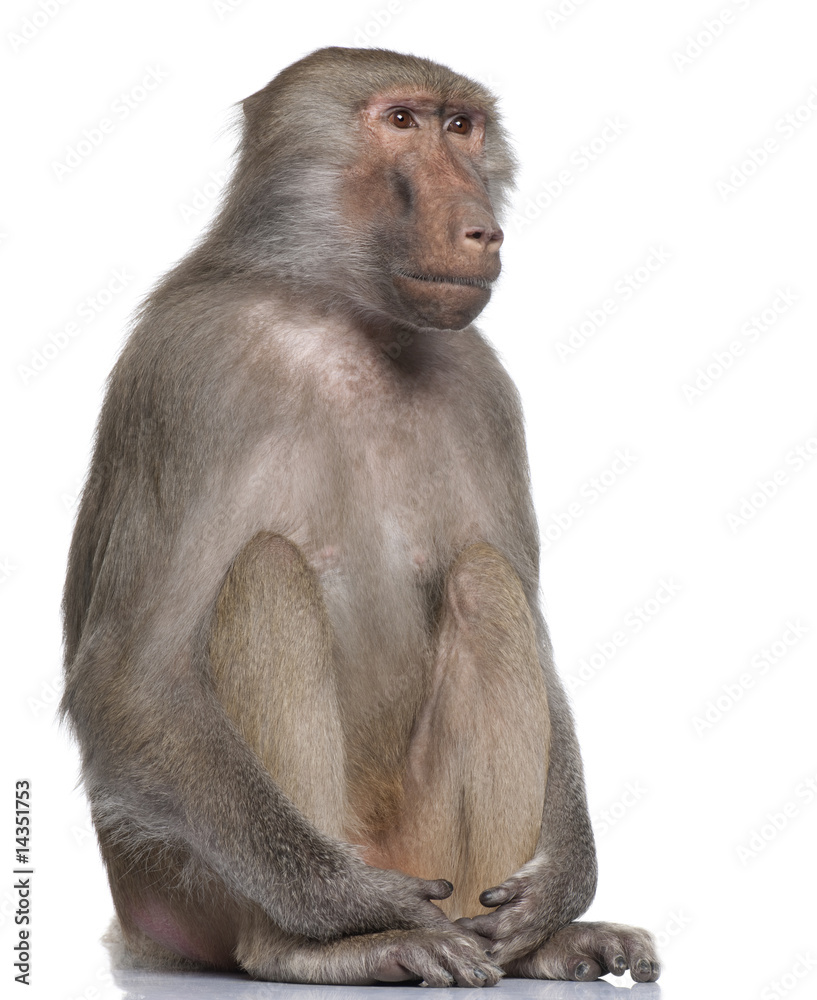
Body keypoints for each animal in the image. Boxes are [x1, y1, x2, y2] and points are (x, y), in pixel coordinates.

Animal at [62, 47, 661, 987]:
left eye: (462, 127)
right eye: (402, 122)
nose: (480, 230)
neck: (343, 317)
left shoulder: (484, 388)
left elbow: (526, 621)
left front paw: (564, 886)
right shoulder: (190, 365)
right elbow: (128, 671)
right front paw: (352, 904)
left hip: (439, 860)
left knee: (486, 586)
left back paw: (534, 946)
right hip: (194, 882)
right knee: (267, 572)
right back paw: (325, 946)